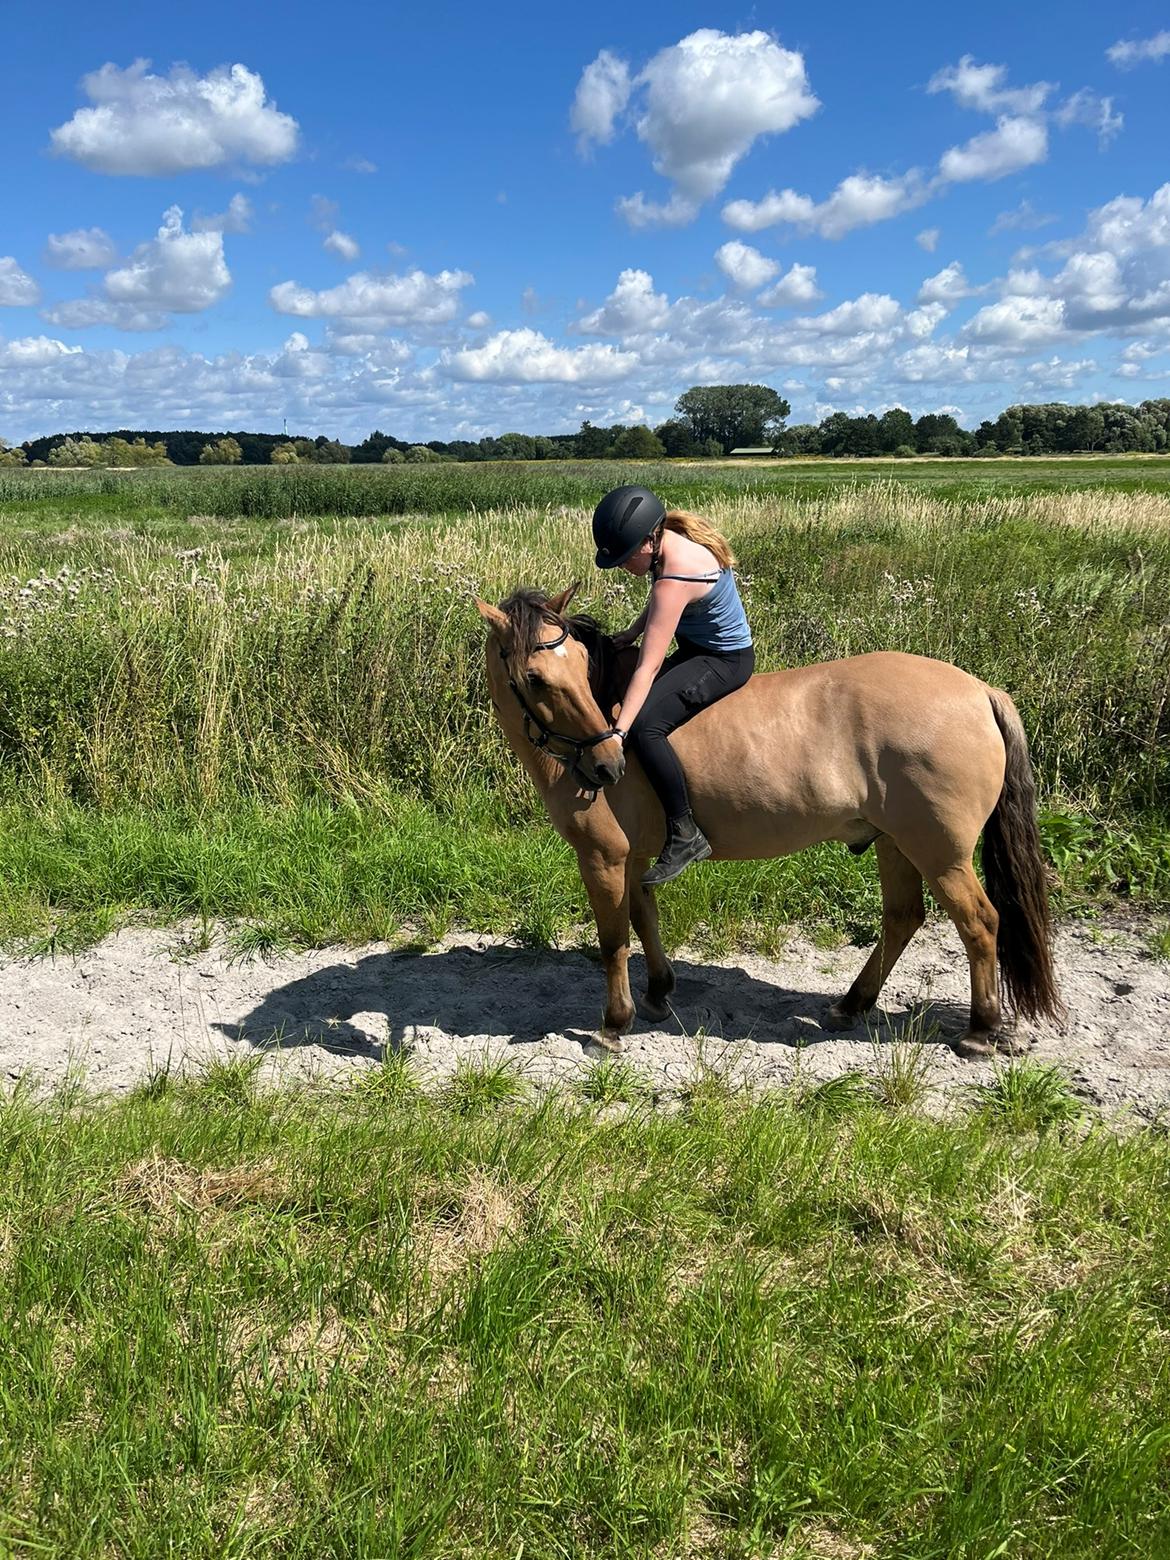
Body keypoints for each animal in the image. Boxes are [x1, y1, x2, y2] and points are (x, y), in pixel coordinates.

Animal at [474, 586, 1060, 1060]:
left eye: (578, 664)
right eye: (535, 677)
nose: (606, 766)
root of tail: (981, 691)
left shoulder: (603, 857)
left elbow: (614, 938)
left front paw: (613, 1025)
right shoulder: (636, 857)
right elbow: (645, 919)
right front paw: (659, 992)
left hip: (939, 853)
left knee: (979, 922)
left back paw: (980, 1030)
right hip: (896, 843)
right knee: (902, 919)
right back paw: (852, 1004)